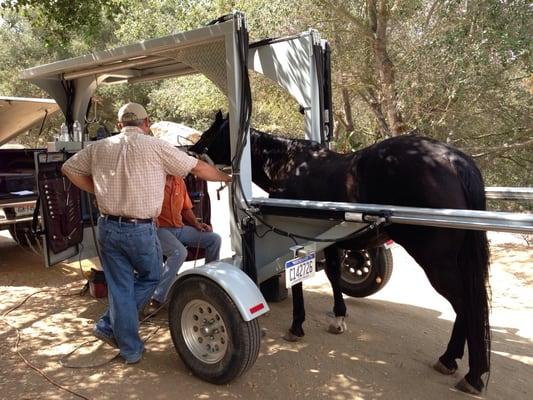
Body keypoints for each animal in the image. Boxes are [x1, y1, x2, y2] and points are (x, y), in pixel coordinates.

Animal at [191, 111, 490, 394]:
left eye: (210, 133)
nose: (192, 152)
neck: (289, 165)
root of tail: (454, 160)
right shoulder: (327, 242)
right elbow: (334, 276)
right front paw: (338, 318)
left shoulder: (297, 241)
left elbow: (299, 284)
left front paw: (297, 326)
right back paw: (454, 361)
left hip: (437, 263)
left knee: (466, 304)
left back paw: (469, 372)